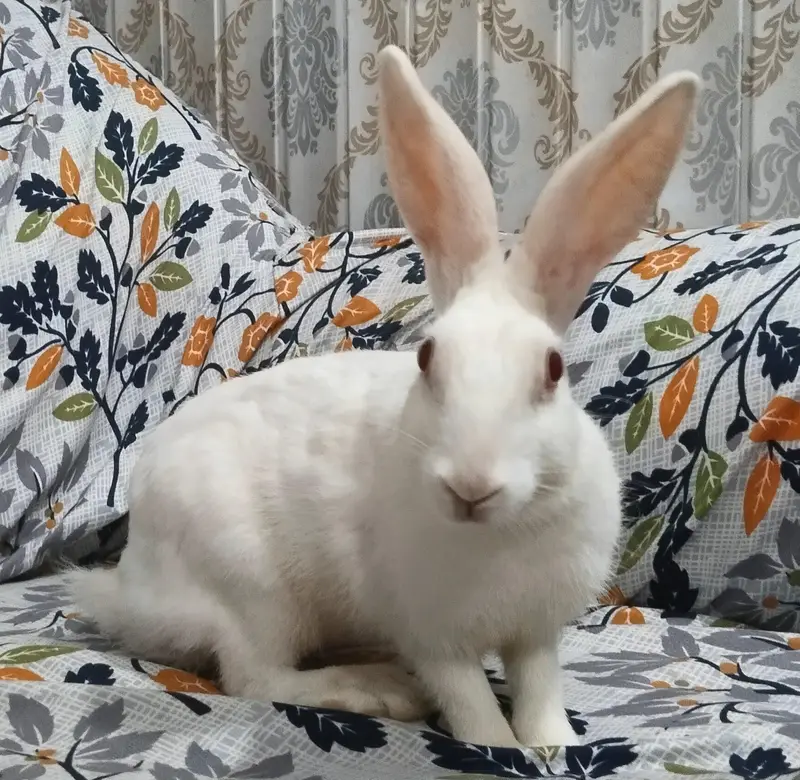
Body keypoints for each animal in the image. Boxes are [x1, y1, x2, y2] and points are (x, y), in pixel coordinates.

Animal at [70, 46, 698, 749]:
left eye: (554, 370)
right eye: (427, 359)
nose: (471, 486)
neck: (497, 534)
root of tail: (131, 586)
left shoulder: (535, 634)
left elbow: (539, 689)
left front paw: (552, 743)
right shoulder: (434, 639)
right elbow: (469, 703)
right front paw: (496, 744)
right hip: (252, 590)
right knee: (255, 676)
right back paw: (377, 689)